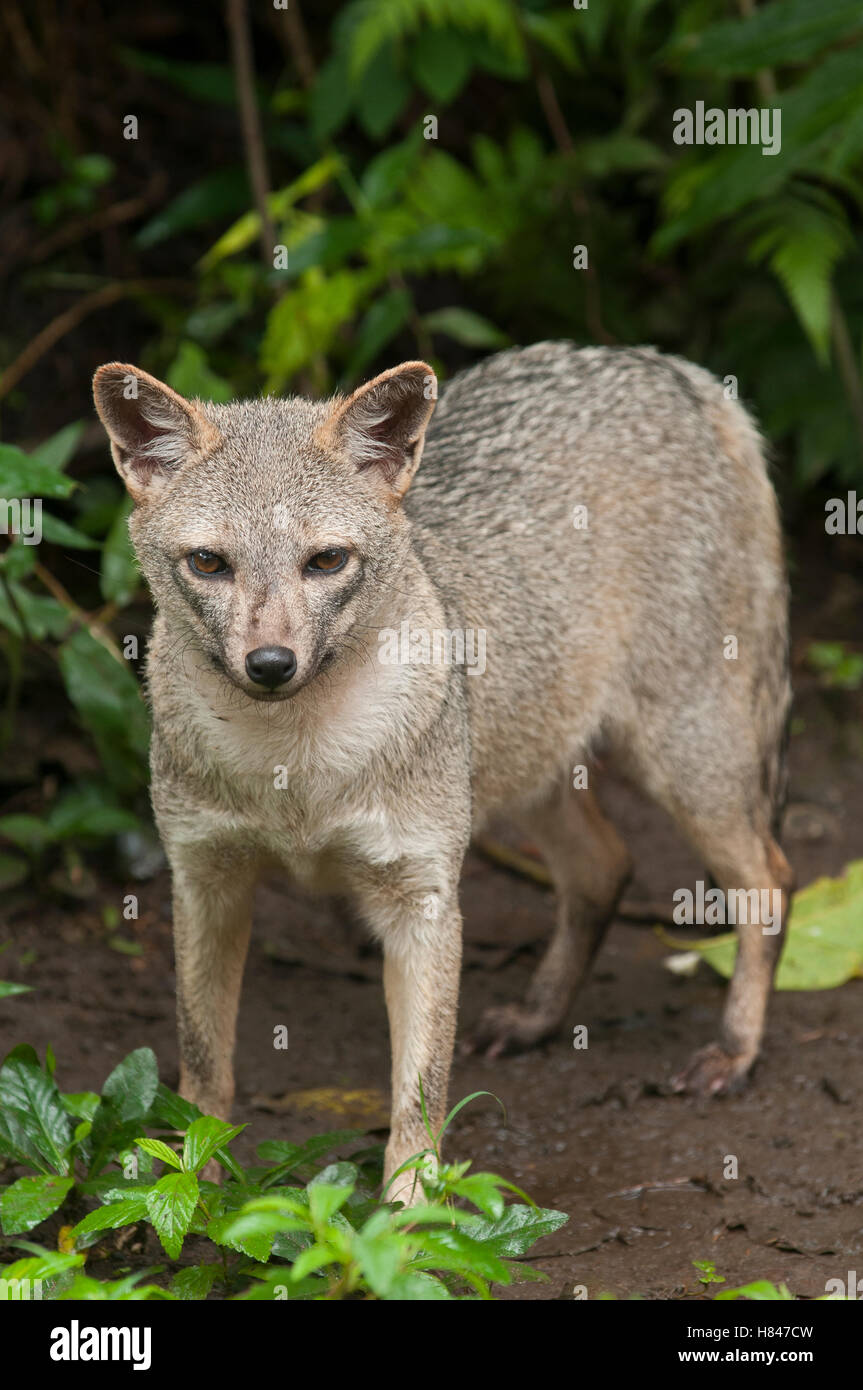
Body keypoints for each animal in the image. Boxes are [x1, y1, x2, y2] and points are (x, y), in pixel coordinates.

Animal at [93, 341, 793, 1202]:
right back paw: (535, 1018)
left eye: (326, 561)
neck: (296, 768)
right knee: (605, 867)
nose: (270, 664)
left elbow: (419, 1091)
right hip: (532, 769)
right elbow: (202, 1073)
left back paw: (733, 1050)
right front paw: (198, 1191)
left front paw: (408, 1213)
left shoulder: (421, 897)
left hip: (684, 764)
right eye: (209, 563)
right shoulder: (204, 882)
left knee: (769, 879)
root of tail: (663, 366)